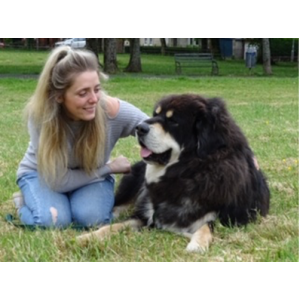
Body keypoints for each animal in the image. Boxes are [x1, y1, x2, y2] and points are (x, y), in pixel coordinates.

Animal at [77, 94, 270, 253]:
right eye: (155, 114)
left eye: (173, 121)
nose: (139, 127)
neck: (188, 172)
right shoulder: (145, 215)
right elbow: (116, 226)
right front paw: (88, 237)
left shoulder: (228, 217)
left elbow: (206, 226)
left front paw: (197, 244)